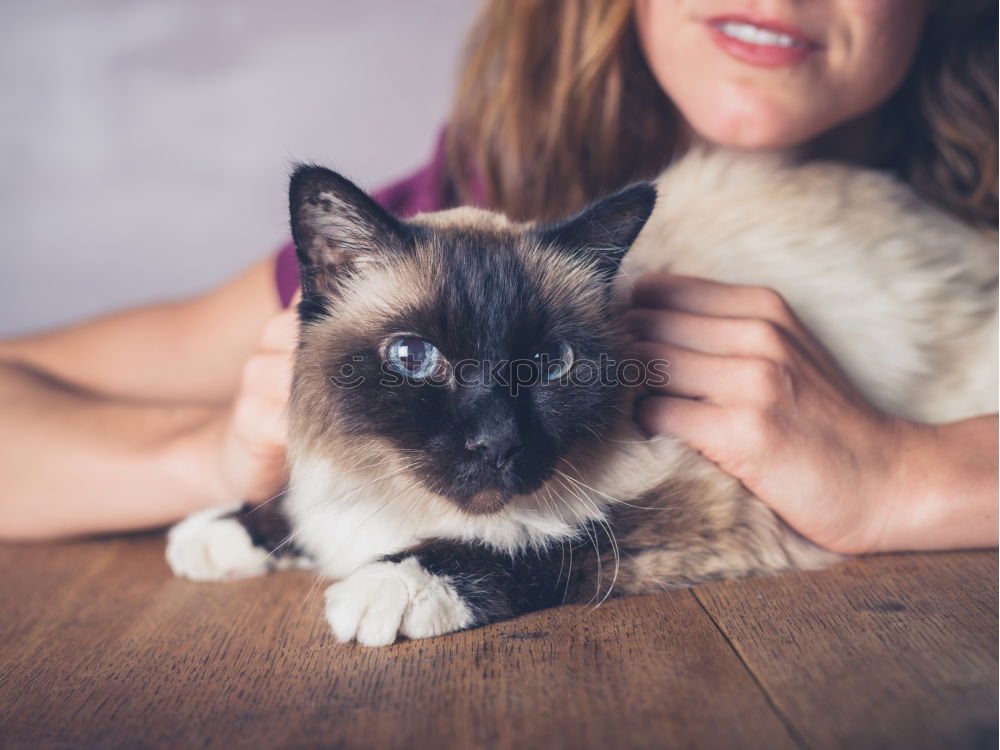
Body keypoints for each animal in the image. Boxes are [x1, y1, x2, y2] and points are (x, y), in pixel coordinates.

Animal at [168, 151, 996, 648]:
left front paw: (385, 587)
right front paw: (213, 537)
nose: (495, 444)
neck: (401, 507)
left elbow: (540, 540)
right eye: (414, 359)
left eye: (550, 364)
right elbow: (291, 510)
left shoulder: (711, 501)